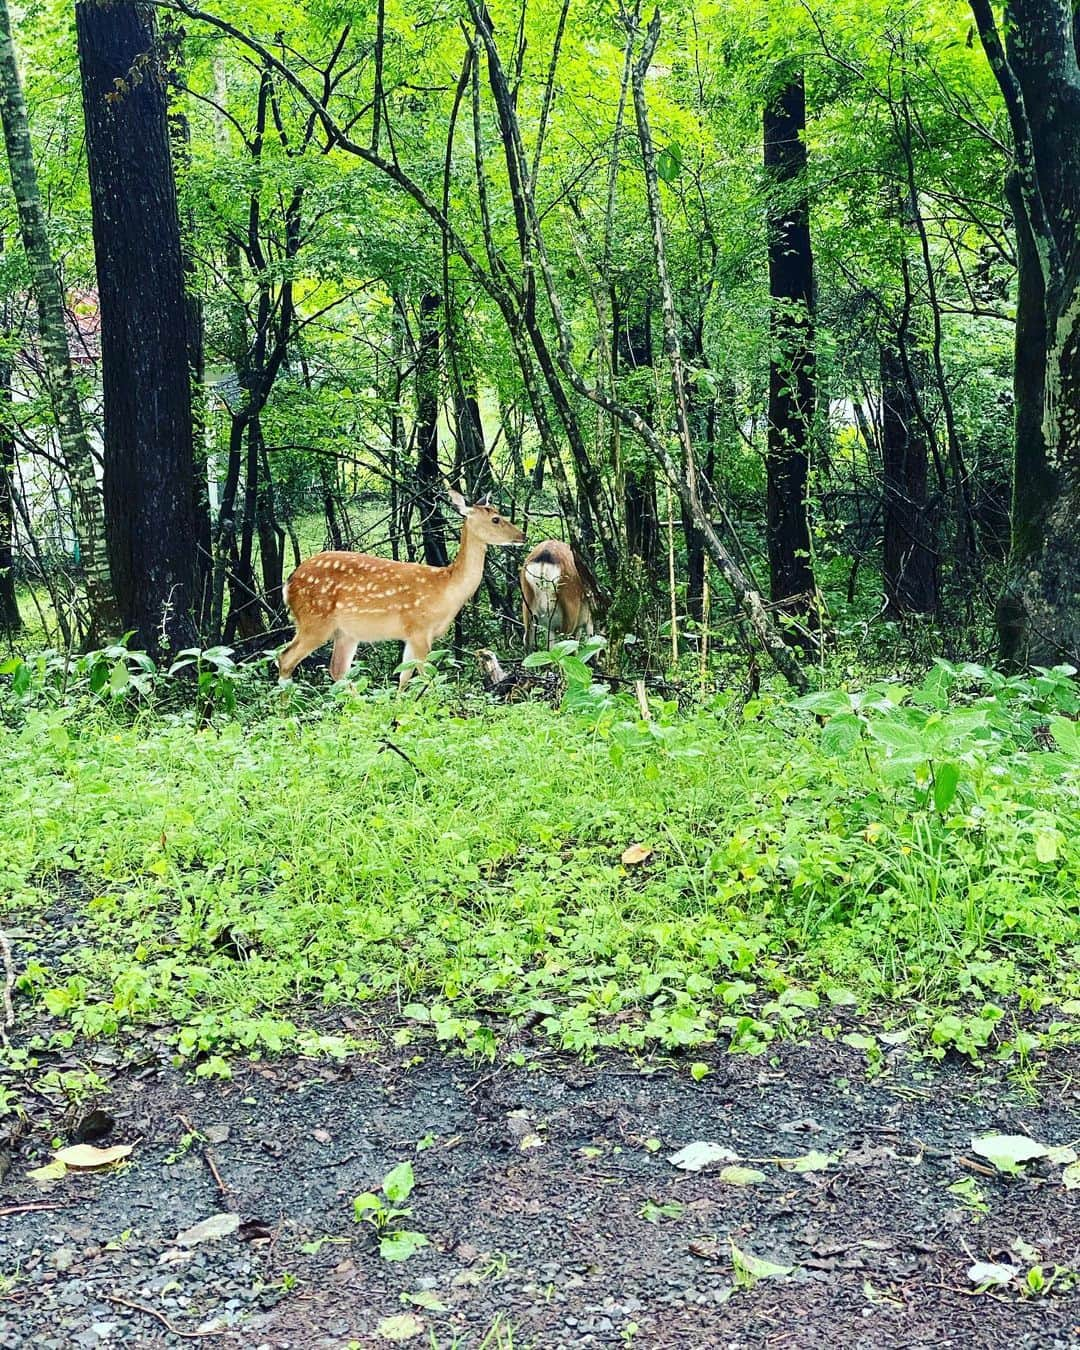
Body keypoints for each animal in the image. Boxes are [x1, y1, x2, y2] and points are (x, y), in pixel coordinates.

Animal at [276, 491, 526, 691]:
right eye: (496, 519)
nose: (522, 535)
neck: (446, 590)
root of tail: (288, 584)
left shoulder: (410, 635)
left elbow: (404, 675)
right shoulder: (419, 628)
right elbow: (426, 675)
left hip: (345, 632)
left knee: (337, 669)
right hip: (315, 620)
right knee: (285, 658)